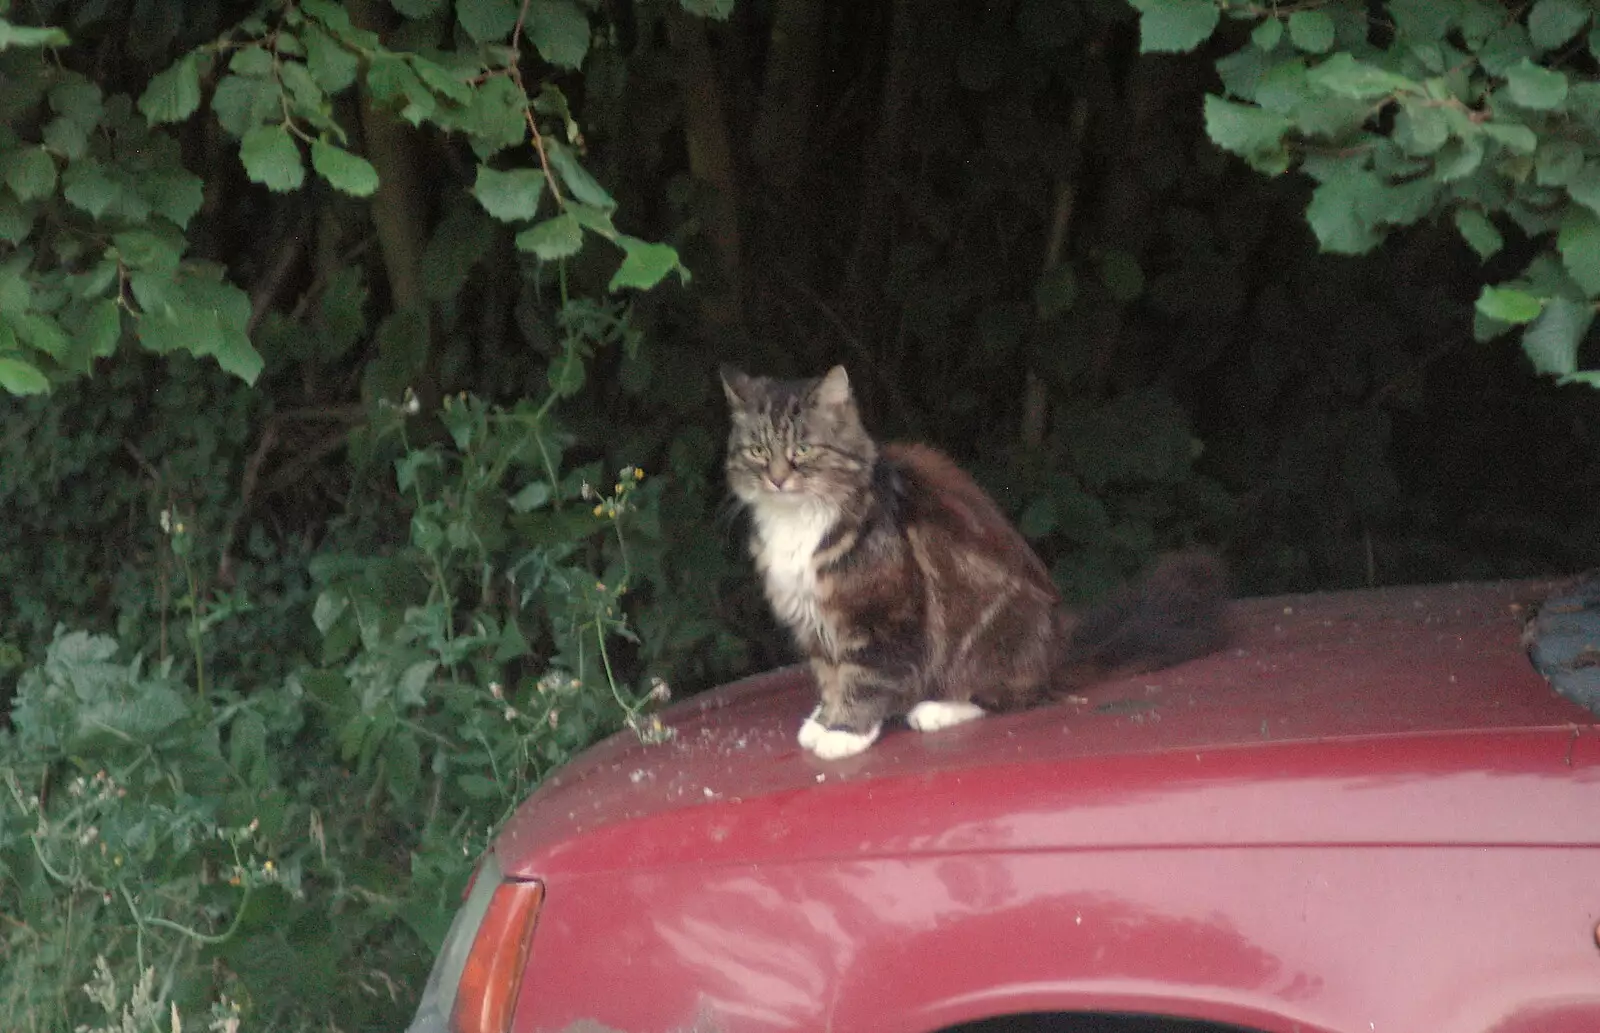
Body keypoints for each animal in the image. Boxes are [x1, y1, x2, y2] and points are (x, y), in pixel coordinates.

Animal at [726, 364, 1222, 761]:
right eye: (757, 451)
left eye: (803, 450)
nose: (777, 478)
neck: (796, 520)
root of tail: (1056, 652)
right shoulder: (813, 620)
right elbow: (829, 673)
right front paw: (824, 718)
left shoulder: (880, 617)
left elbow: (864, 677)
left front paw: (844, 733)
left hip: (993, 633)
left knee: (1007, 695)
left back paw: (935, 709)